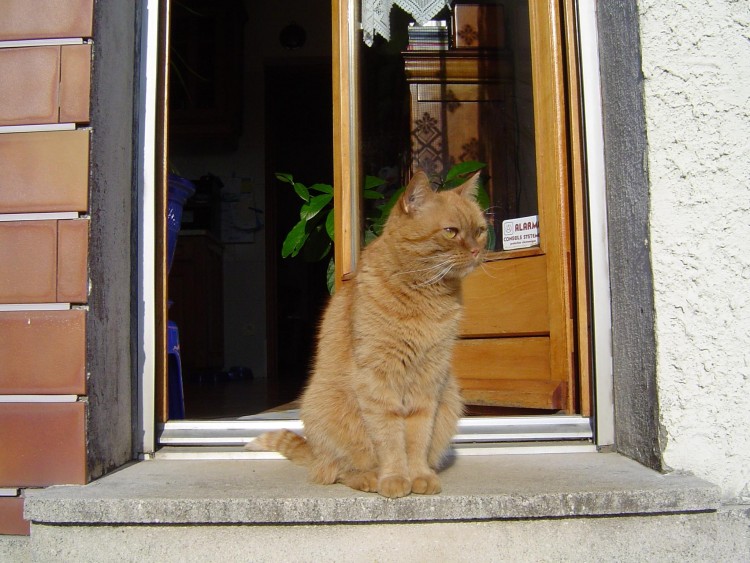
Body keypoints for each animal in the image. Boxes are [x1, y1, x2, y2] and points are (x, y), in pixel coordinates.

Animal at [250, 172, 490, 498]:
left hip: (450, 398)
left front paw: (419, 476)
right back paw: (369, 478)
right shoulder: (379, 378)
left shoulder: (429, 381)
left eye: (479, 231)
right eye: (451, 232)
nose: (477, 251)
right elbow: (389, 438)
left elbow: (417, 437)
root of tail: (314, 451)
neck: (425, 295)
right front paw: (395, 478)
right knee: (337, 469)